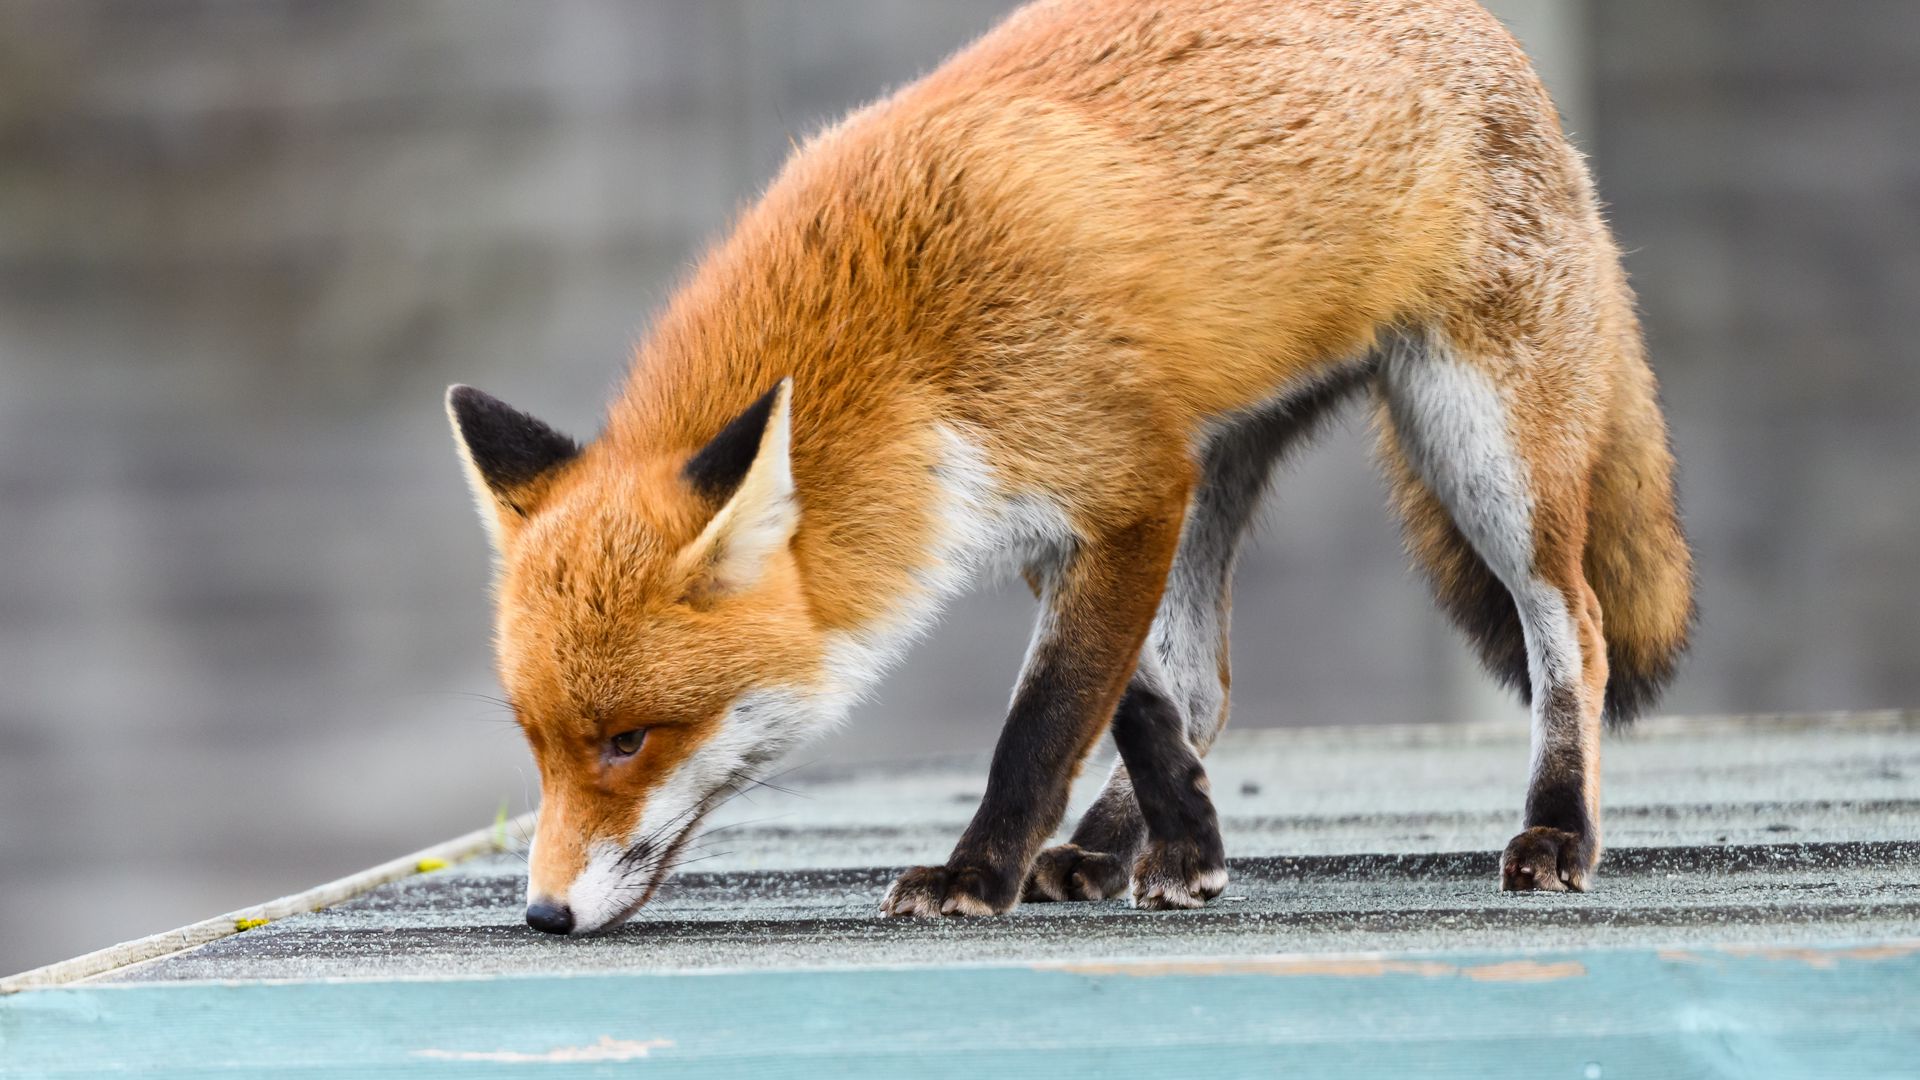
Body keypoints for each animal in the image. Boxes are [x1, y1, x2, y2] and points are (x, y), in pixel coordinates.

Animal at [446, 0, 1693, 935]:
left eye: (628, 740)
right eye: (537, 745)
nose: (544, 916)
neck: (908, 341)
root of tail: (1494, 34)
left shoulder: (1127, 492)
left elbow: (1040, 723)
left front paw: (974, 876)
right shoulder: (1071, 521)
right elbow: (1131, 703)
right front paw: (1184, 846)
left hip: (1481, 450)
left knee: (1574, 625)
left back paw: (1558, 829)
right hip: (1218, 471)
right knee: (1203, 685)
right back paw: (1102, 851)